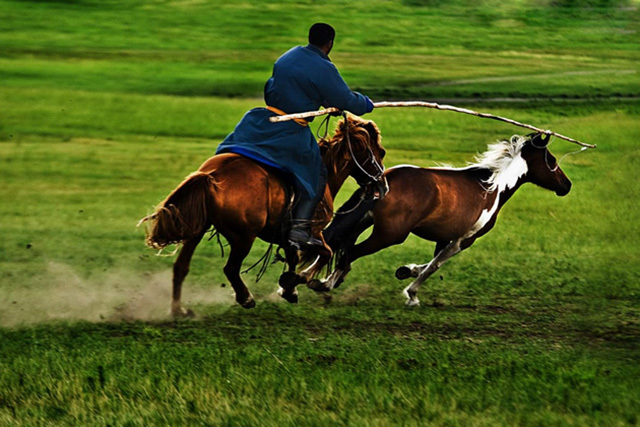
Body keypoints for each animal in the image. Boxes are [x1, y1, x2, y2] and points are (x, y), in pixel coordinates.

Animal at [139, 115, 384, 316]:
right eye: (380, 152)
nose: (381, 184)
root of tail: (210, 176)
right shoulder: (313, 234)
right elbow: (324, 253)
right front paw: (296, 281)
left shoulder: (287, 238)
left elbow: (294, 259)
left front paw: (290, 290)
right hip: (242, 238)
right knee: (230, 269)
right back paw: (245, 298)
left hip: (197, 231)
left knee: (181, 267)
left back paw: (178, 310)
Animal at [318, 132, 572, 306]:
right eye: (552, 160)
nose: (566, 186)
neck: (493, 188)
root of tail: (382, 180)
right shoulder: (463, 240)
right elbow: (435, 265)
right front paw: (412, 295)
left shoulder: (445, 238)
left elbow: (430, 262)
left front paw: (406, 271)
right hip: (389, 235)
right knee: (350, 252)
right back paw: (325, 284)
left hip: (364, 221)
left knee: (340, 247)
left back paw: (323, 280)